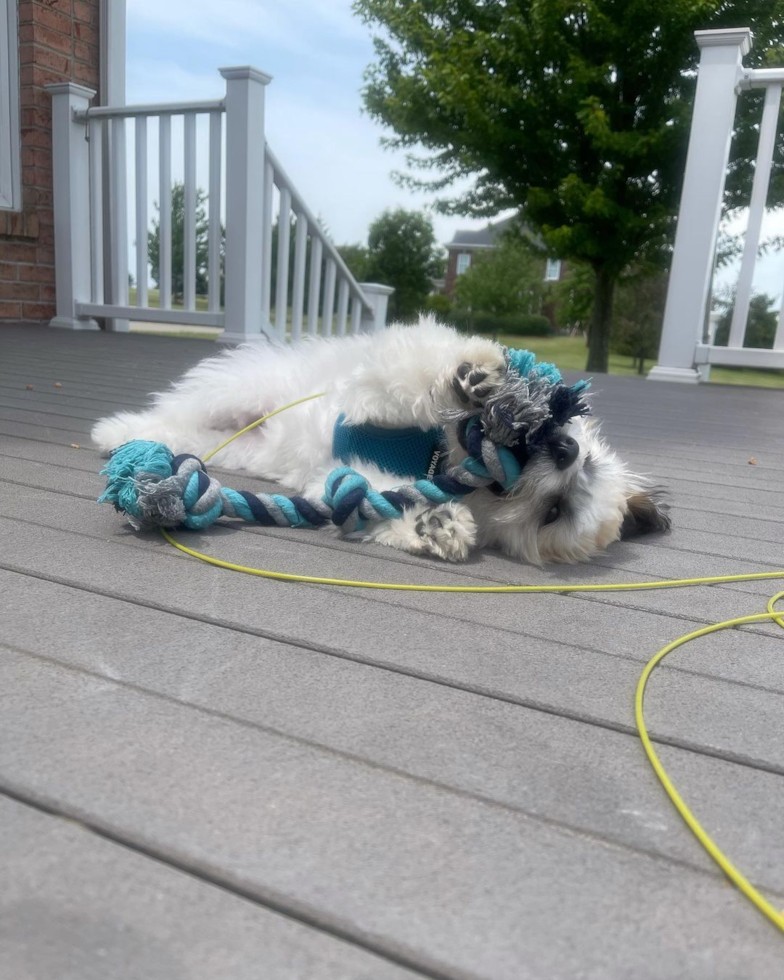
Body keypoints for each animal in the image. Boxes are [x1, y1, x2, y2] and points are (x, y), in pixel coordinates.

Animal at [92, 314, 668, 560]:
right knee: (170, 410)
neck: (439, 456)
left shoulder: (342, 478)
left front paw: (435, 525)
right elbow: (417, 371)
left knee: (180, 426)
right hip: (237, 391)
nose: (566, 449)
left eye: (554, 512)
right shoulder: (374, 385)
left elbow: (373, 500)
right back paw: (117, 433)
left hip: (241, 442)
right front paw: (472, 379)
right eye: (587, 460)